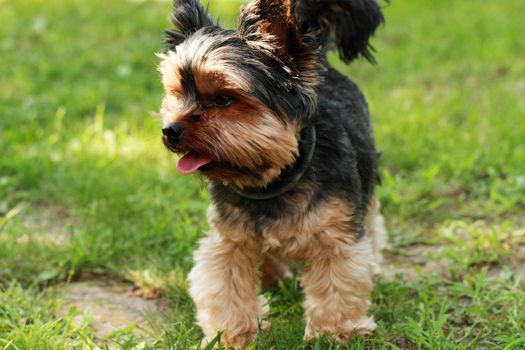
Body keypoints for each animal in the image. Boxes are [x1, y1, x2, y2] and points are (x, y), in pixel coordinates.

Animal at [156, 0, 384, 344]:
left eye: (224, 98)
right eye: (178, 91)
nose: (170, 130)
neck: (273, 179)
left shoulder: (336, 234)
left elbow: (337, 283)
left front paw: (333, 333)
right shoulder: (229, 239)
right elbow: (226, 286)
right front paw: (231, 337)